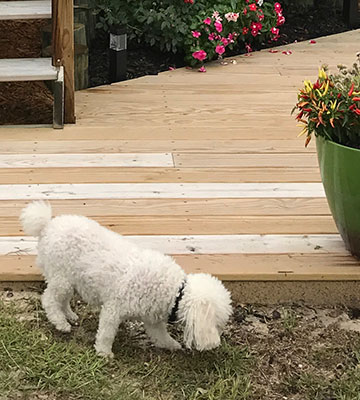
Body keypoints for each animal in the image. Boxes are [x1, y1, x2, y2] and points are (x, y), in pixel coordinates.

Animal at [20, 202, 233, 358]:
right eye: (218, 323)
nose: (219, 339)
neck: (175, 292)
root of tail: (47, 225)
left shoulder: (152, 320)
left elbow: (160, 336)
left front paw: (173, 345)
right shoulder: (113, 309)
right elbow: (106, 333)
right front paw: (104, 353)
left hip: (68, 279)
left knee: (61, 299)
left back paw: (69, 315)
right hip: (61, 277)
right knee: (49, 299)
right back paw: (60, 323)